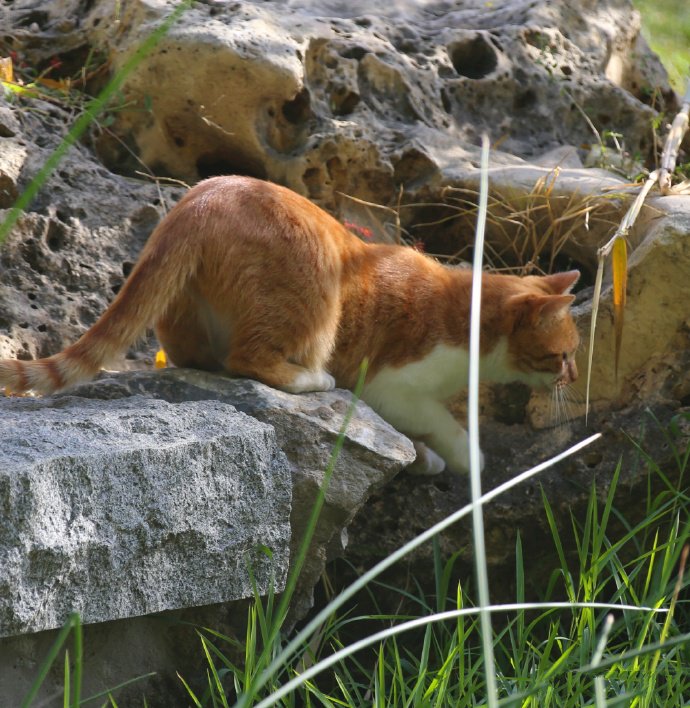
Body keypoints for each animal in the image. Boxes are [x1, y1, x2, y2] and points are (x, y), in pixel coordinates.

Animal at [0, 176, 576, 476]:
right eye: (564, 354)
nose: (572, 378)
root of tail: (201, 199)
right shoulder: (390, 385)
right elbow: (441, 420)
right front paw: (463, 456)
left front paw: (427, 459)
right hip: (314, 293)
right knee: (251, 359)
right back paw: (310, 377)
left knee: (201, 356)